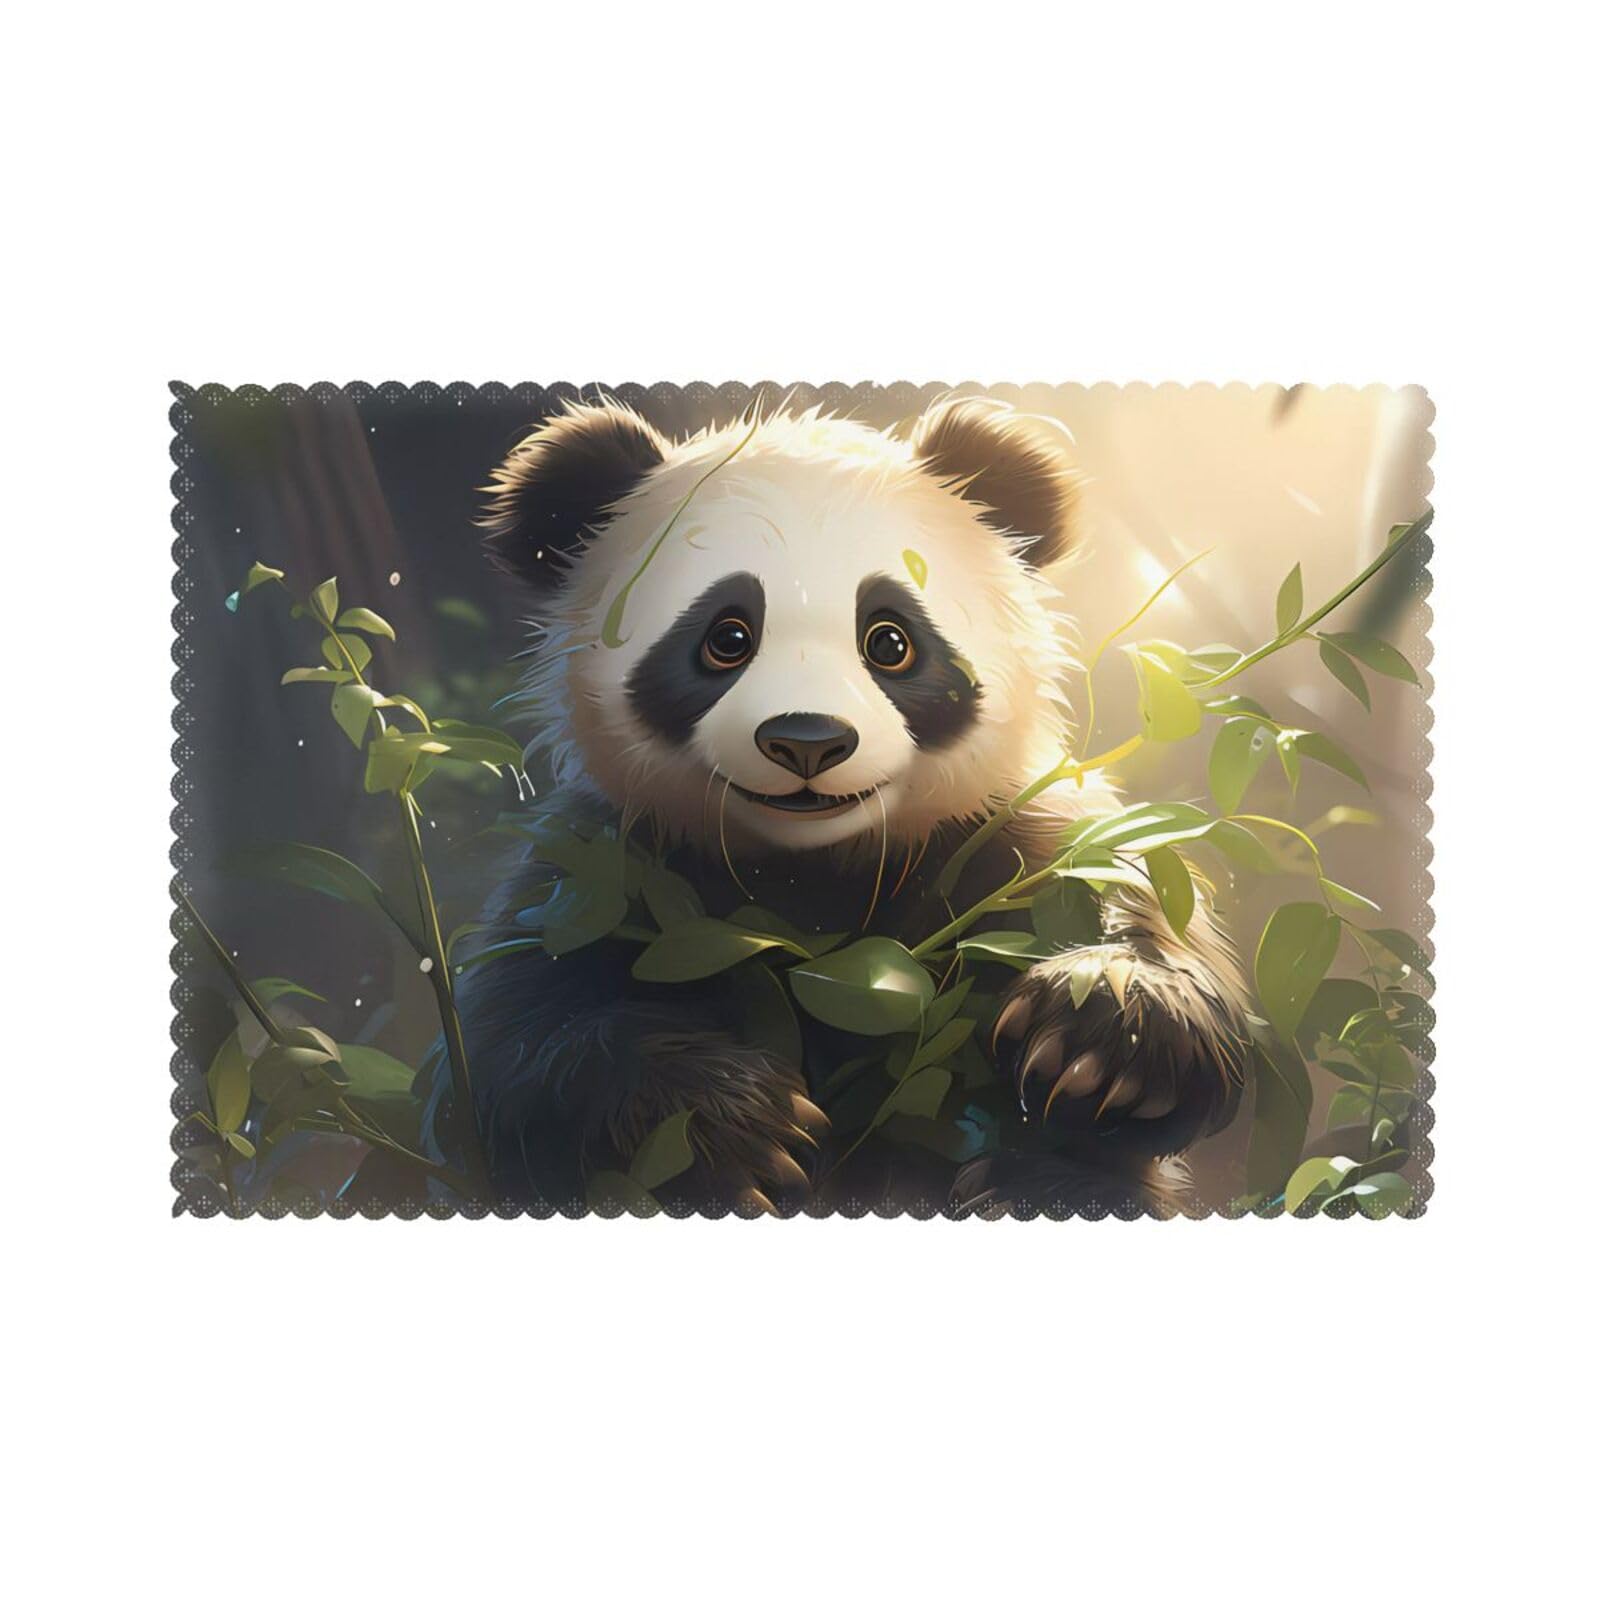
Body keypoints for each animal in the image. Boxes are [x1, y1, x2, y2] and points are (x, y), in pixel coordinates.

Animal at [443, 395, 1250, 1216]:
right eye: (726, 637)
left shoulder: (1002, 834)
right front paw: (739, 1131)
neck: (817, 871)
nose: (807, 740)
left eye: (889, 640)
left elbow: (1140, 907)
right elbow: (509, 1039)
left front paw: (1104, 1027)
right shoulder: (608, 865)